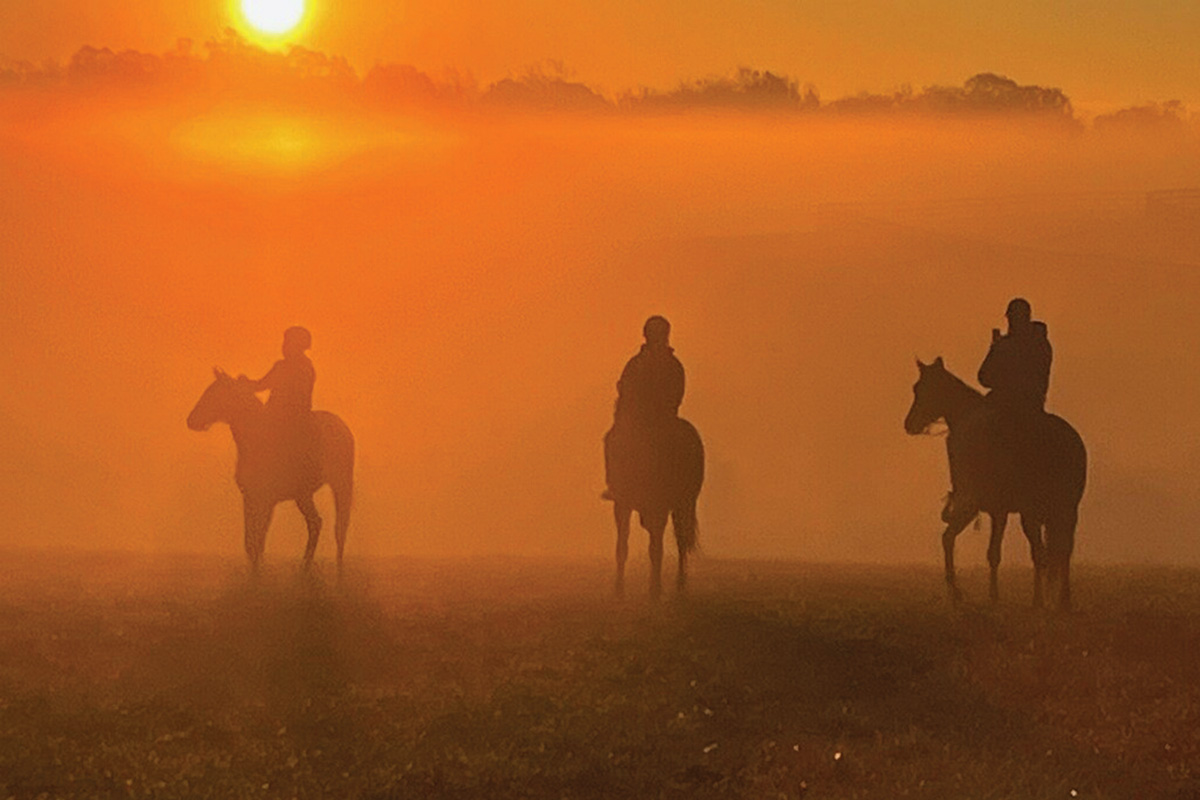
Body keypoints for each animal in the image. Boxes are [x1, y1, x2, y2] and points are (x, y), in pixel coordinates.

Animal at [187, 369, 352, 568]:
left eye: (213, 393)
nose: (191, 420)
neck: (255, 438)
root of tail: (343, 427)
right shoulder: (250, 497)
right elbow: (251, 542)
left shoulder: (267, 500)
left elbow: (258, 540)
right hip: (303, 495)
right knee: (316, 523)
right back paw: (305, 564)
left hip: (340, 485)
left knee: (340, 528)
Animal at [604, 417, 700, 597]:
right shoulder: (622, 505)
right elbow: (622, 546)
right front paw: (619, 589)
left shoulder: (660, 507)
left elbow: (656, 549)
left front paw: (655, 589)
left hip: (683, 505)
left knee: (681, 540)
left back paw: (680, 584)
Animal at [902, 359, 1089, 609]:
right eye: (916, 387)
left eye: (922, 389)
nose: (909, 424)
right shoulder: (994, 509)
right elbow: (968, 544)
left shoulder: (987, 506)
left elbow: (985, 550)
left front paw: (985, 595)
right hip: (1061, 509)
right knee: (1059, 550)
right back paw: (1060, 600)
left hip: (1034, 511)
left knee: (1043, 552)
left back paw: (1041, 599)